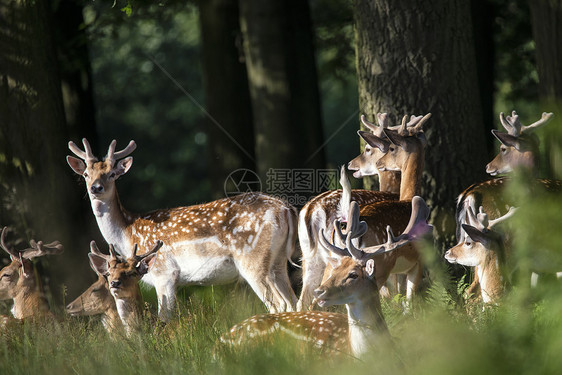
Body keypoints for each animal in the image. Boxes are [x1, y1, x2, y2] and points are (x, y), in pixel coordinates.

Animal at [66, 140, 298, 322]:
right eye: (86, 174)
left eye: (112, 174)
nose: (96, 188)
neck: (128, 232)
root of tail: (286, 209)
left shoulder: (164, 272)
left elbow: (165, 317)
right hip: (277, 262)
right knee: (294, 302)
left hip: (253, 260)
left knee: (279, 304)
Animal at [296, 112, 426, 312]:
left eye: (367, 149)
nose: (351, 164)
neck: (401, 194)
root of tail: (311, 211)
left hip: (313, 258)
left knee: (305, 300)